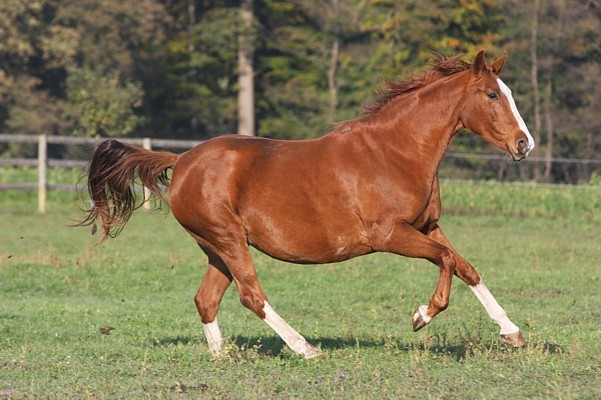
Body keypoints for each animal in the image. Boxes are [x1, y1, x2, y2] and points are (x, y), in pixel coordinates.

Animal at [79, 50, 534, 359]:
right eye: (492, 95)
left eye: (507, 93)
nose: (524, 145)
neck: (396, 151)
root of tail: (183, 160)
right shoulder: (390, 235)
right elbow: (446, 261)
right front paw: (422, 315)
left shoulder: (426, 226)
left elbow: (466, 267)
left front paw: (511, 332)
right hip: (227, 240)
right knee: (251, 295)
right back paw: (305, 347)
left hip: (216, 247)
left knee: (207, 300)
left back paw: (222, 356)